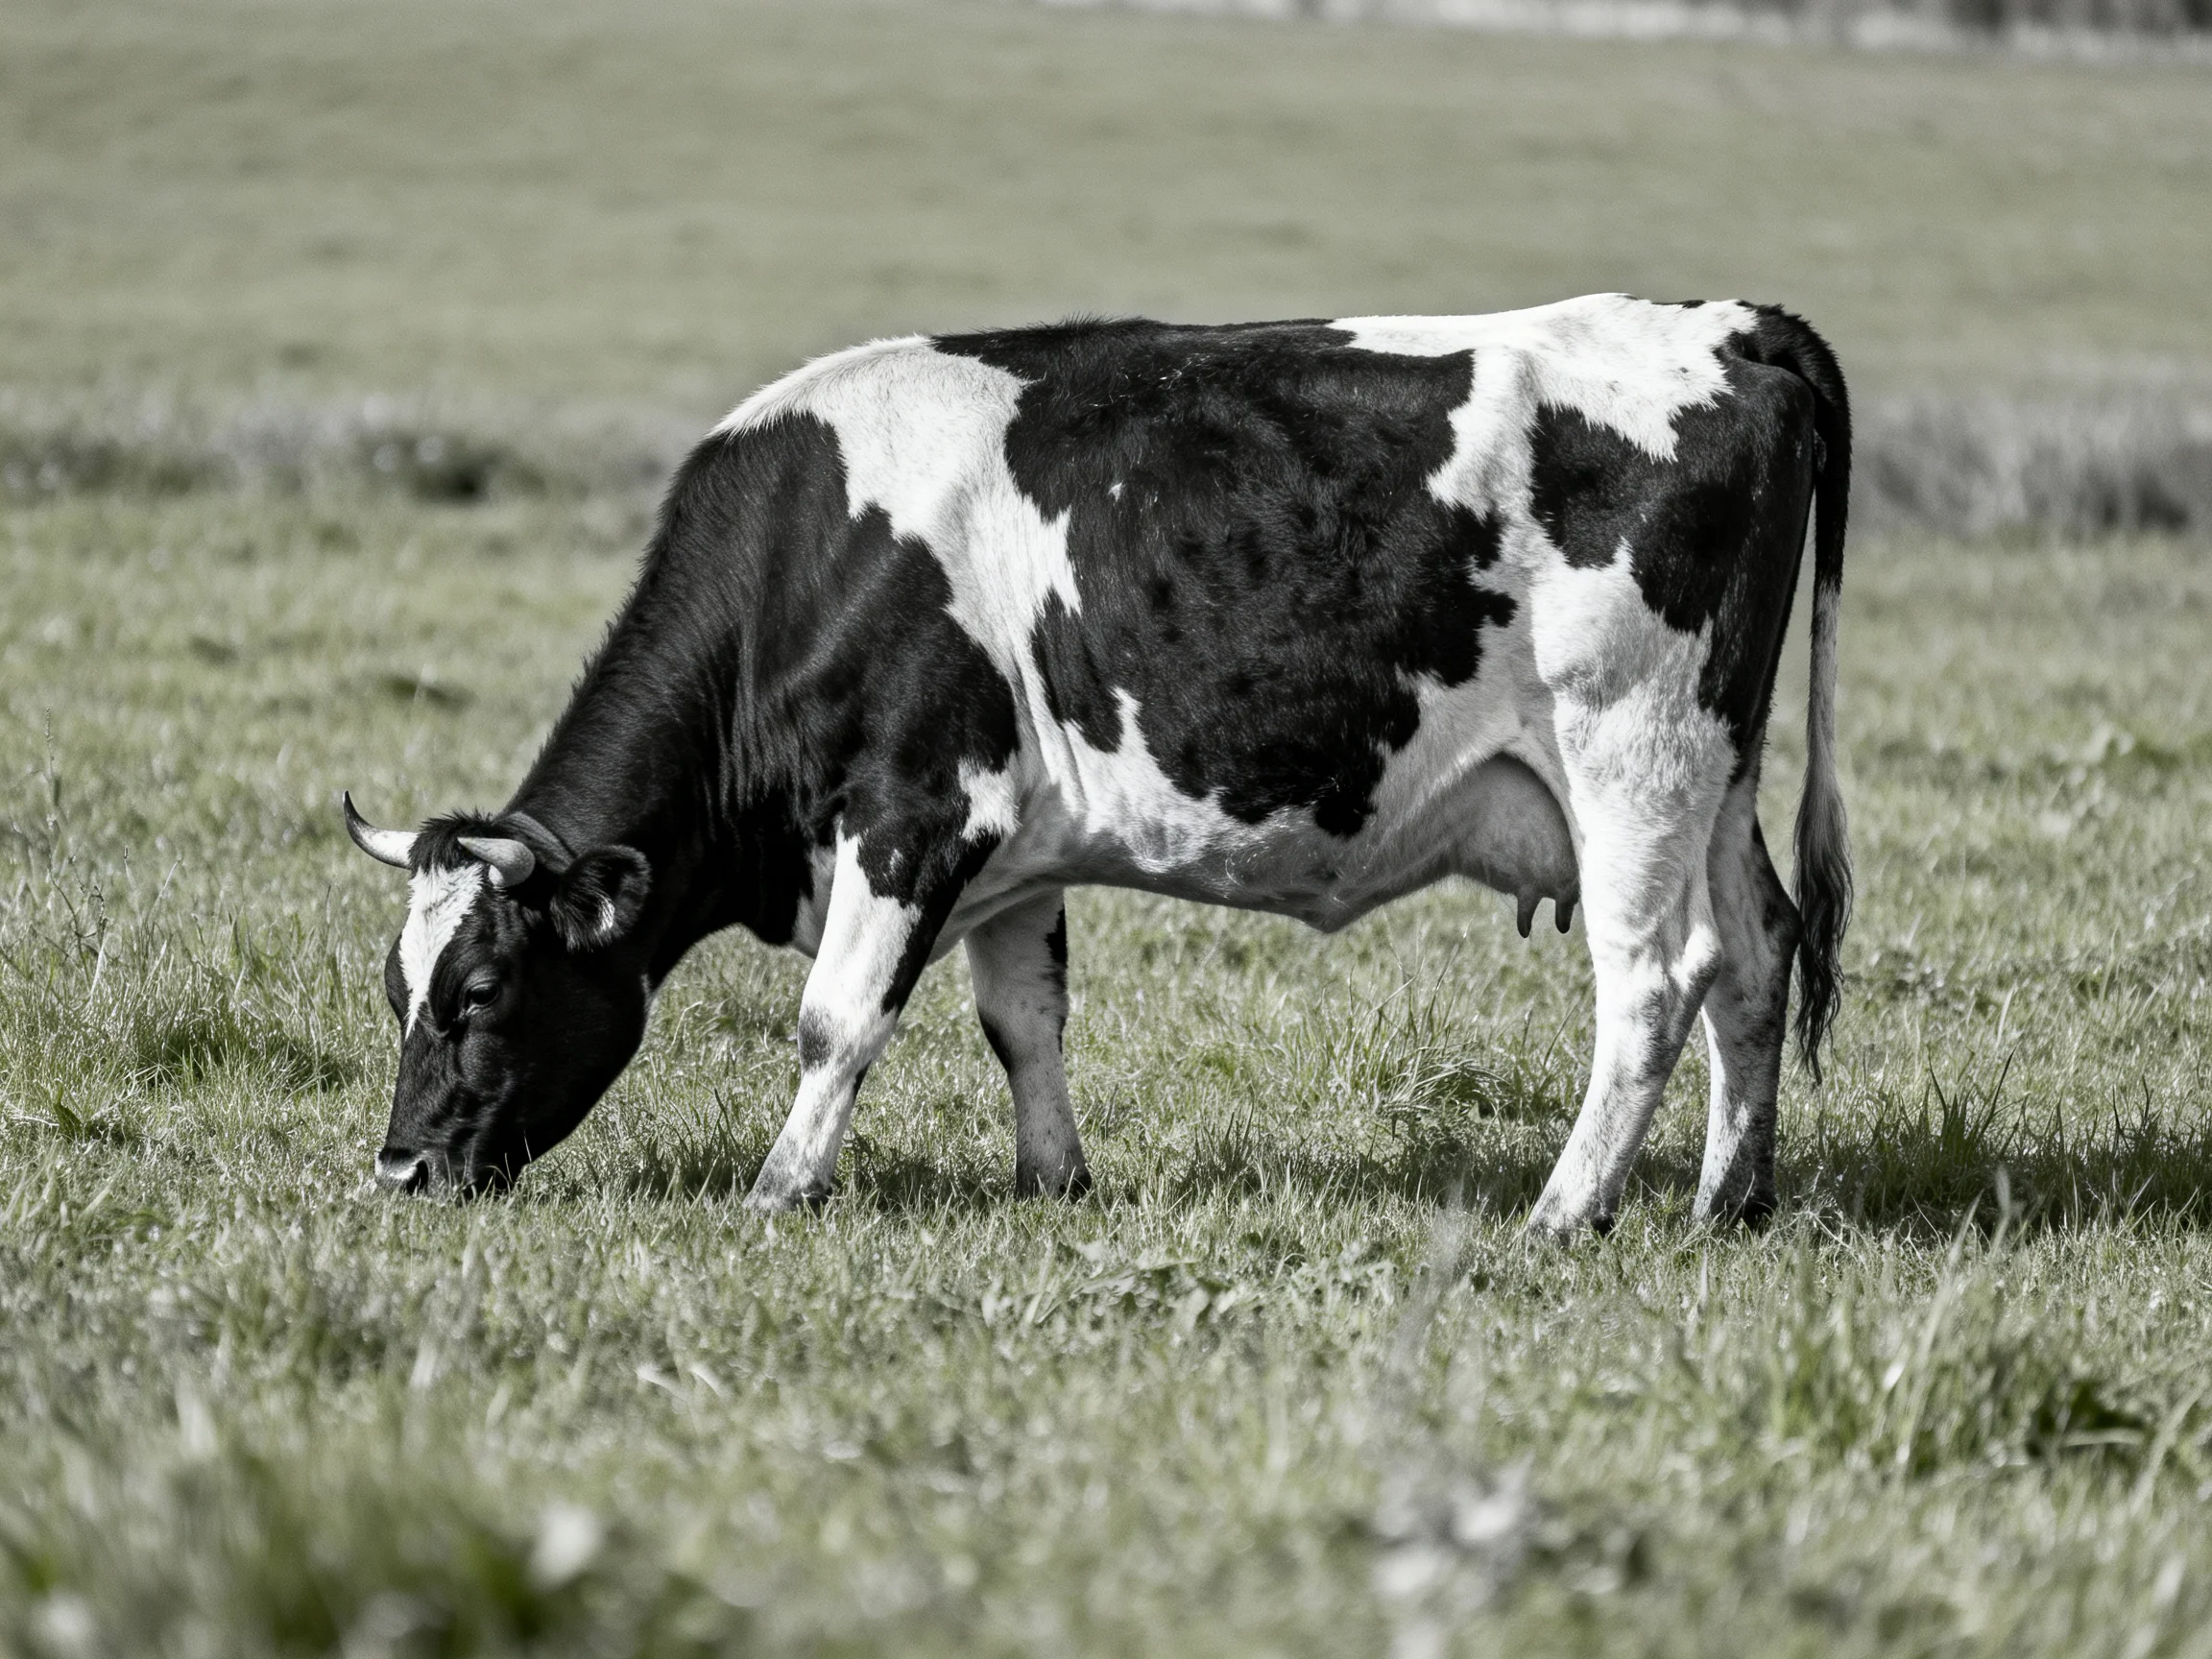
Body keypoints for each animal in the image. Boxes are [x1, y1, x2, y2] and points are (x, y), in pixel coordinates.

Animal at [343, 293, 1851, 1239]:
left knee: (1656, 983)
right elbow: (1025, 1021)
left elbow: (838, 1020)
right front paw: (1054, 1182)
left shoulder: (917, 810)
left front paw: (778, 1190)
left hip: (1631, 760)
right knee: (1761, 948)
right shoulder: (1011, 854)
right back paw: (1730, 1204)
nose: (401, 1170)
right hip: (1714, 770)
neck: (807, 563)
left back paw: (1563, 1212)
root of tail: (1726, 324)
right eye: (397, 991)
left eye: (480, 993)